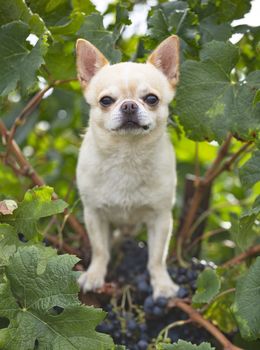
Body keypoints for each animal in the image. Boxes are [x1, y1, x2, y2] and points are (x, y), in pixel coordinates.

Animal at [76, 34, 180, 298]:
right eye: (105, 101)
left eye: (151, 99)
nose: (129, 105)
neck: (127, 156)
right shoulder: (94, 214)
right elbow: (100, 250)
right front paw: (94, 275)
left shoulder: (161, 218)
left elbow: (156, 258)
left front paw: (162, 284)